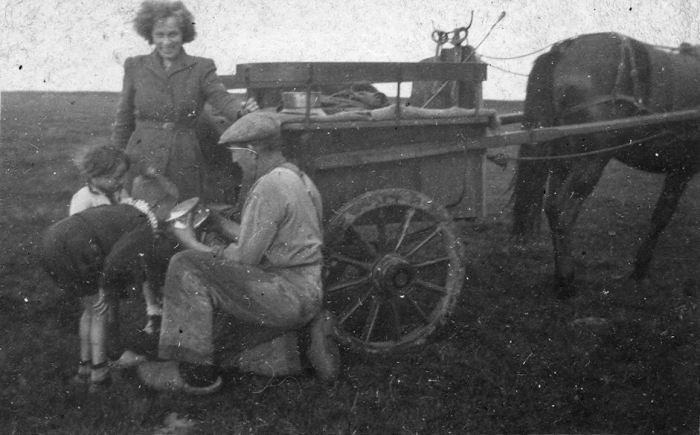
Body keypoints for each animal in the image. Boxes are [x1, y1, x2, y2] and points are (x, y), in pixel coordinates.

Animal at [512, 32, 700, 300]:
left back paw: (560, 277)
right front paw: (640, 269)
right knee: (562, 210)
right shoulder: (682, 169)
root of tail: (566, 48)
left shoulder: (680, 168)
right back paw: (566, 281)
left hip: (564, 159)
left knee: (551, 208)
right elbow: (661, 217)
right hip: (591, 160)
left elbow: (659, 216)